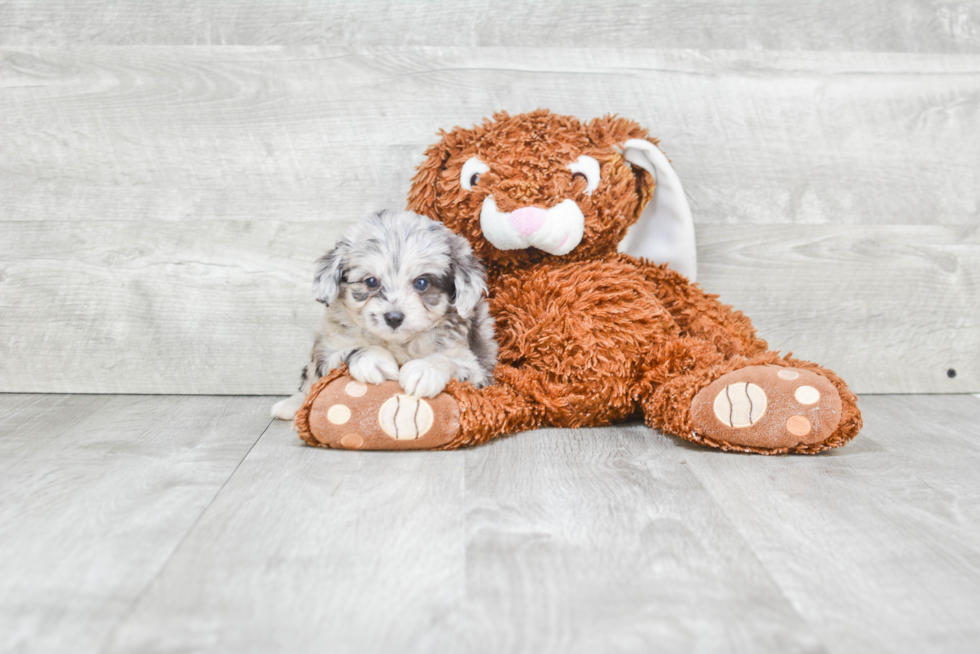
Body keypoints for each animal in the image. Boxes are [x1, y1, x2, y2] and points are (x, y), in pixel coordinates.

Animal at [270, 211, 494, 426]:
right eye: (371, 282)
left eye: (422, 283)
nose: (393, 317)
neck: (396, 343)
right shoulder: (327, 350)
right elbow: (345, 354)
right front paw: (374, 359)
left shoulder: (475, 368)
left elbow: (447, 360)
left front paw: (424, 370)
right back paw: (291, 404)